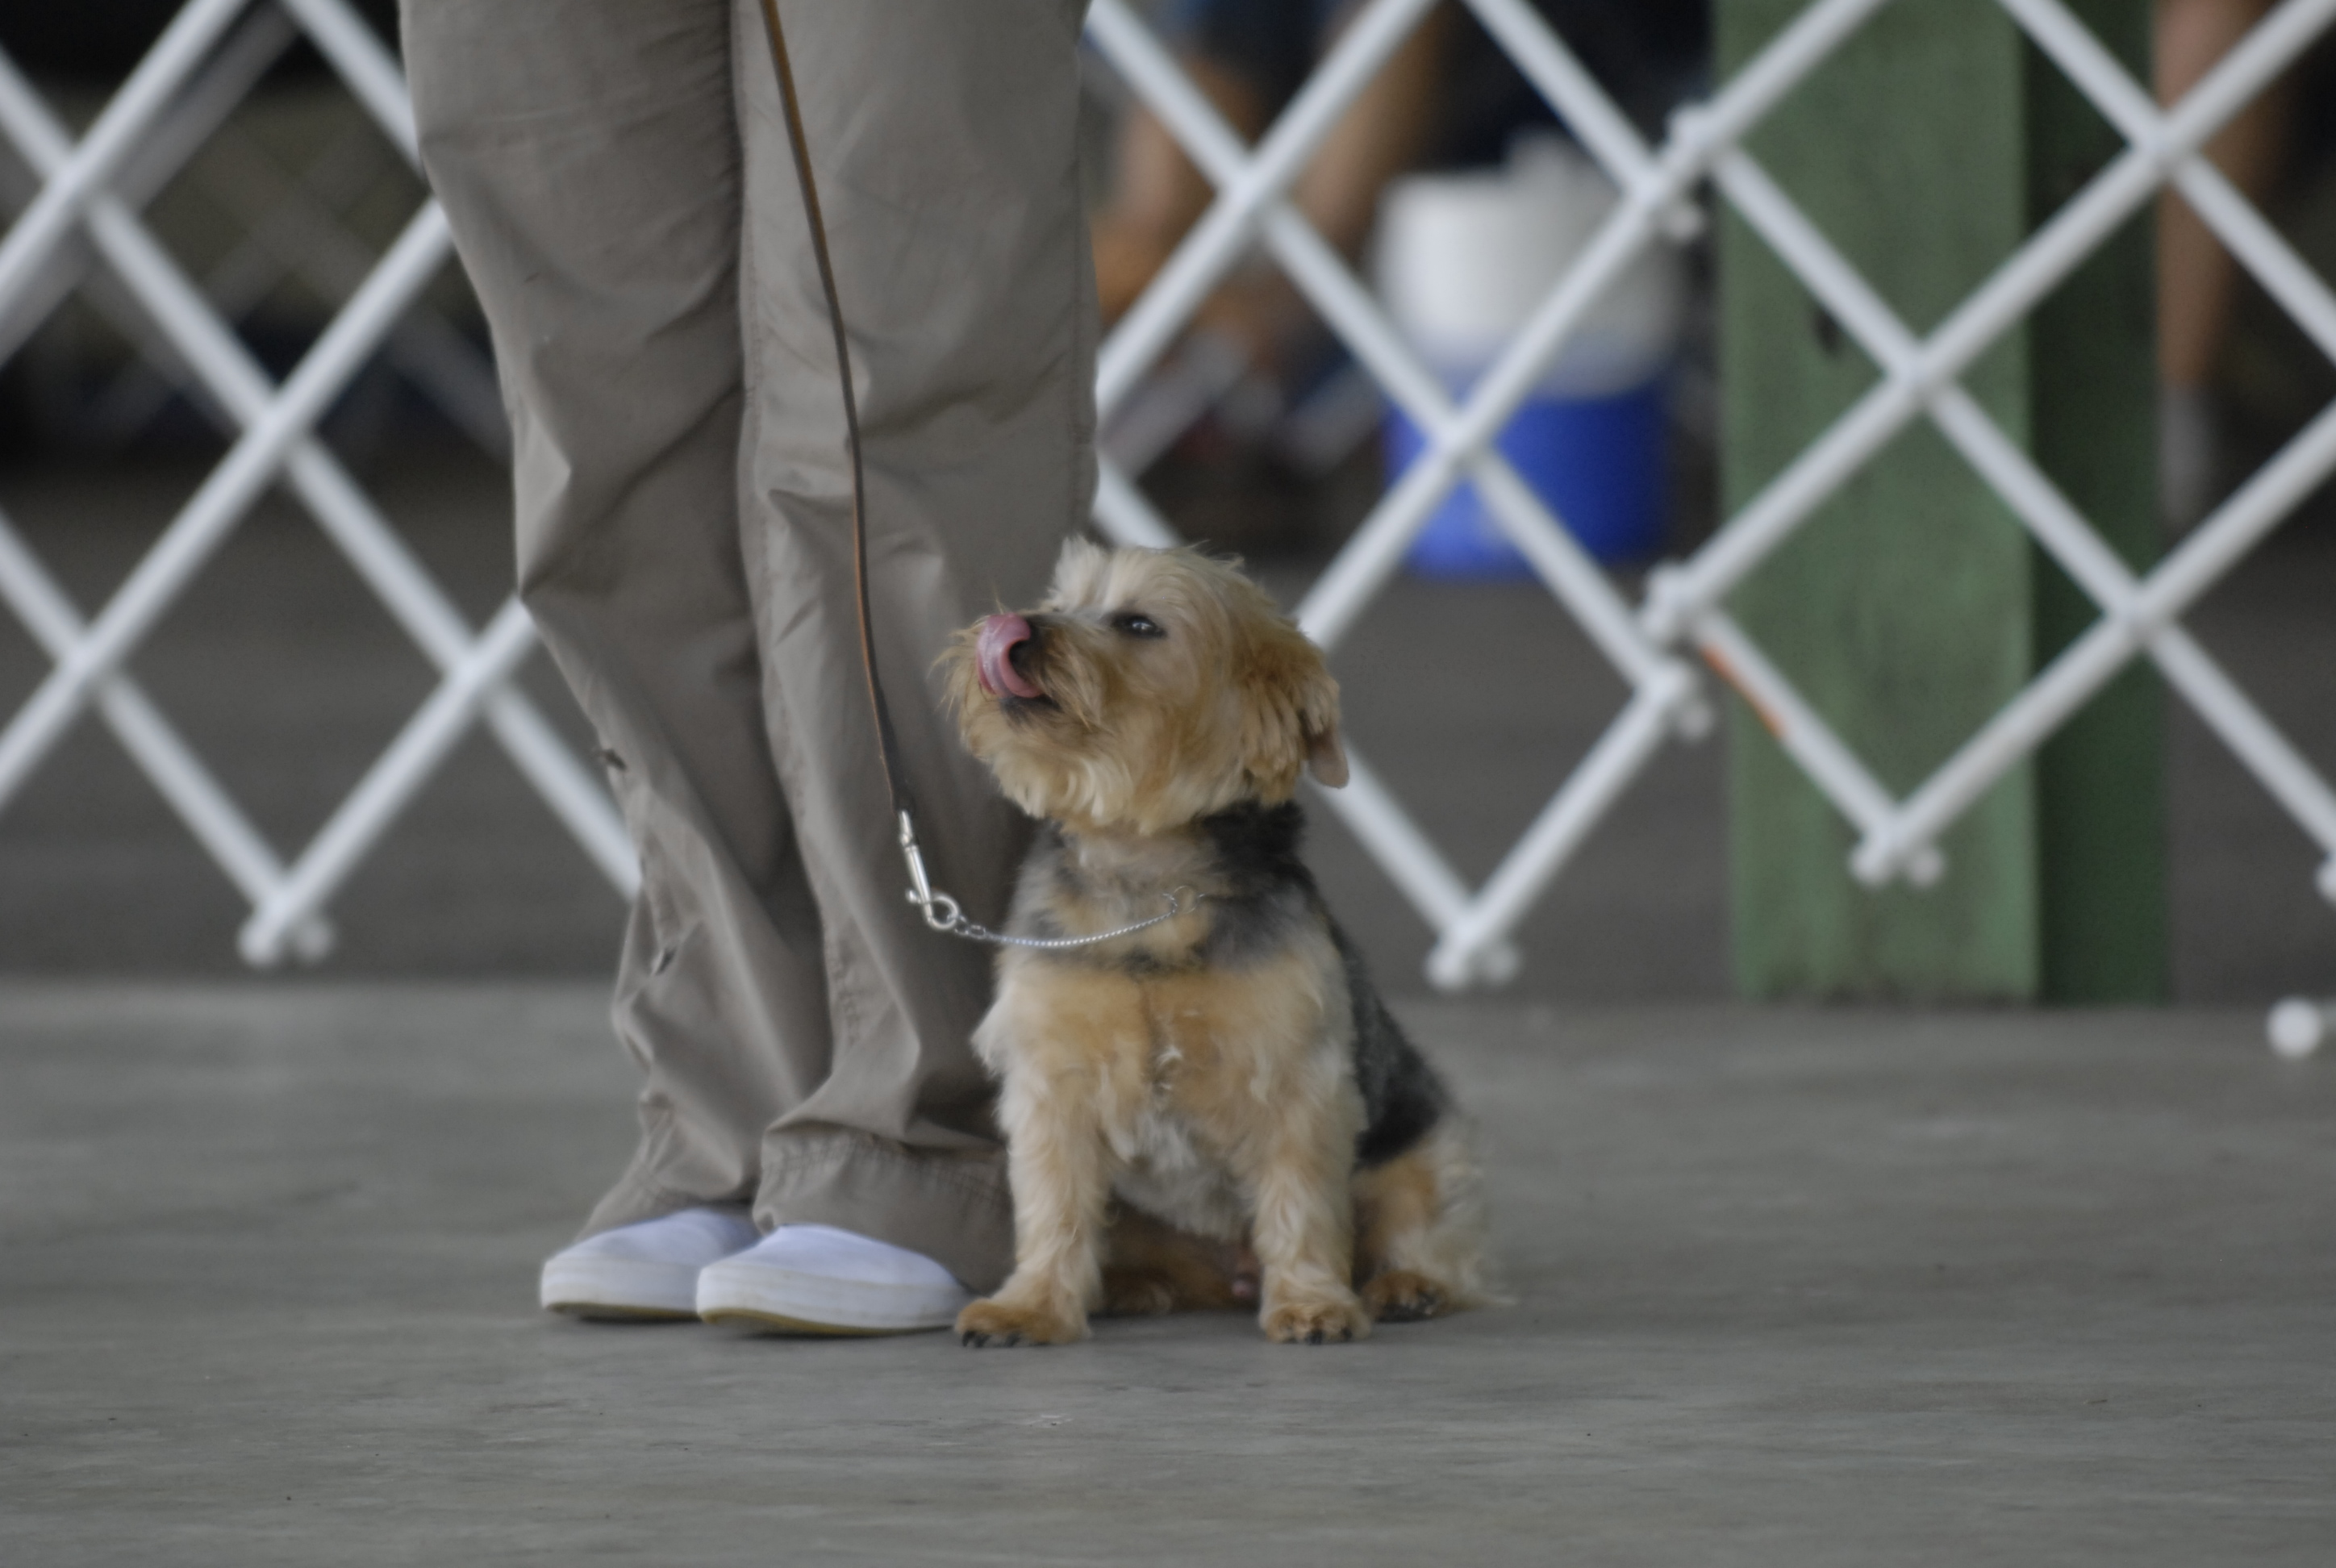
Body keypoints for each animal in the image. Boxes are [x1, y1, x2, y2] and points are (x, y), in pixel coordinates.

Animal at [941, 540, 1488, 1346]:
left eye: (1139, 624)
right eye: (1063, 602)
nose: (1018, 627)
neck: (1148, 881)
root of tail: (1231, 1272)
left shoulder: (1295, 1078)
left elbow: (1301, 1198)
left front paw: (1312, 1302)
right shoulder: (1052, 1084)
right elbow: (1052, 1204)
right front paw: (1032, 1305)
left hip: (1426, 1143)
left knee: (1425, 1223)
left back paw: (1408, 1284)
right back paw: (1130, 1284)